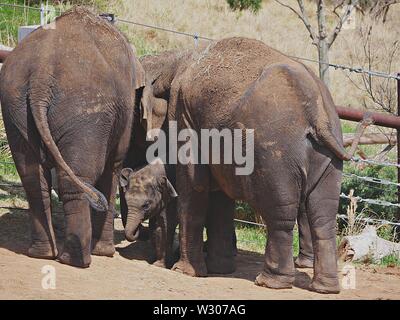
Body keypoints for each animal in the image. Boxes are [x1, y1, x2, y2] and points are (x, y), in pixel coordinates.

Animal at [0, 8, 145, 268]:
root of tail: (41, 75)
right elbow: (114, 165)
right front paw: (105, 253)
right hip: (84, 110)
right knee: (77, 177)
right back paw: (76, 259)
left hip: (15, 104)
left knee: (32, 178)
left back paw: (43, 254)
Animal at [136, 37, 358, 292]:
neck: (175, 59)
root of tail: (317, 111)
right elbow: (220, 196)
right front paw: (220, 269)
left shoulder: (183, 113)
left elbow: (194, 185)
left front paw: (184, 271)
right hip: (329, 156)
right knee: (323, 216)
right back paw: (325, 288)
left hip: (275, 155)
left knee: (280, 214)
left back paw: (270, 282)